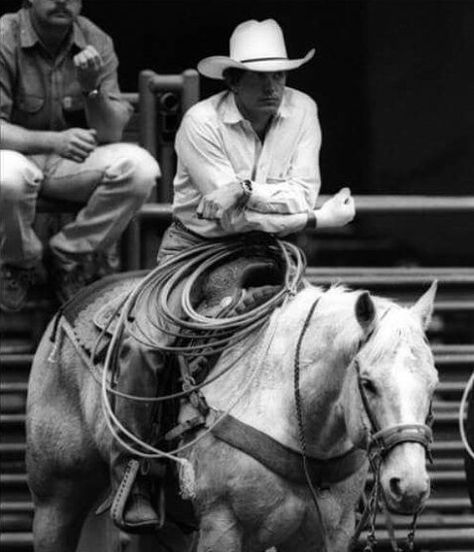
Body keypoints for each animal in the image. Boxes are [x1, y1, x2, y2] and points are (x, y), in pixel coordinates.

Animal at [25, 270, 440, 548]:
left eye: (433, 384)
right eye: (367, 382)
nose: (410, 485)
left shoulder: (328, 535)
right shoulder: (222, 526)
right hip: (56, 498)